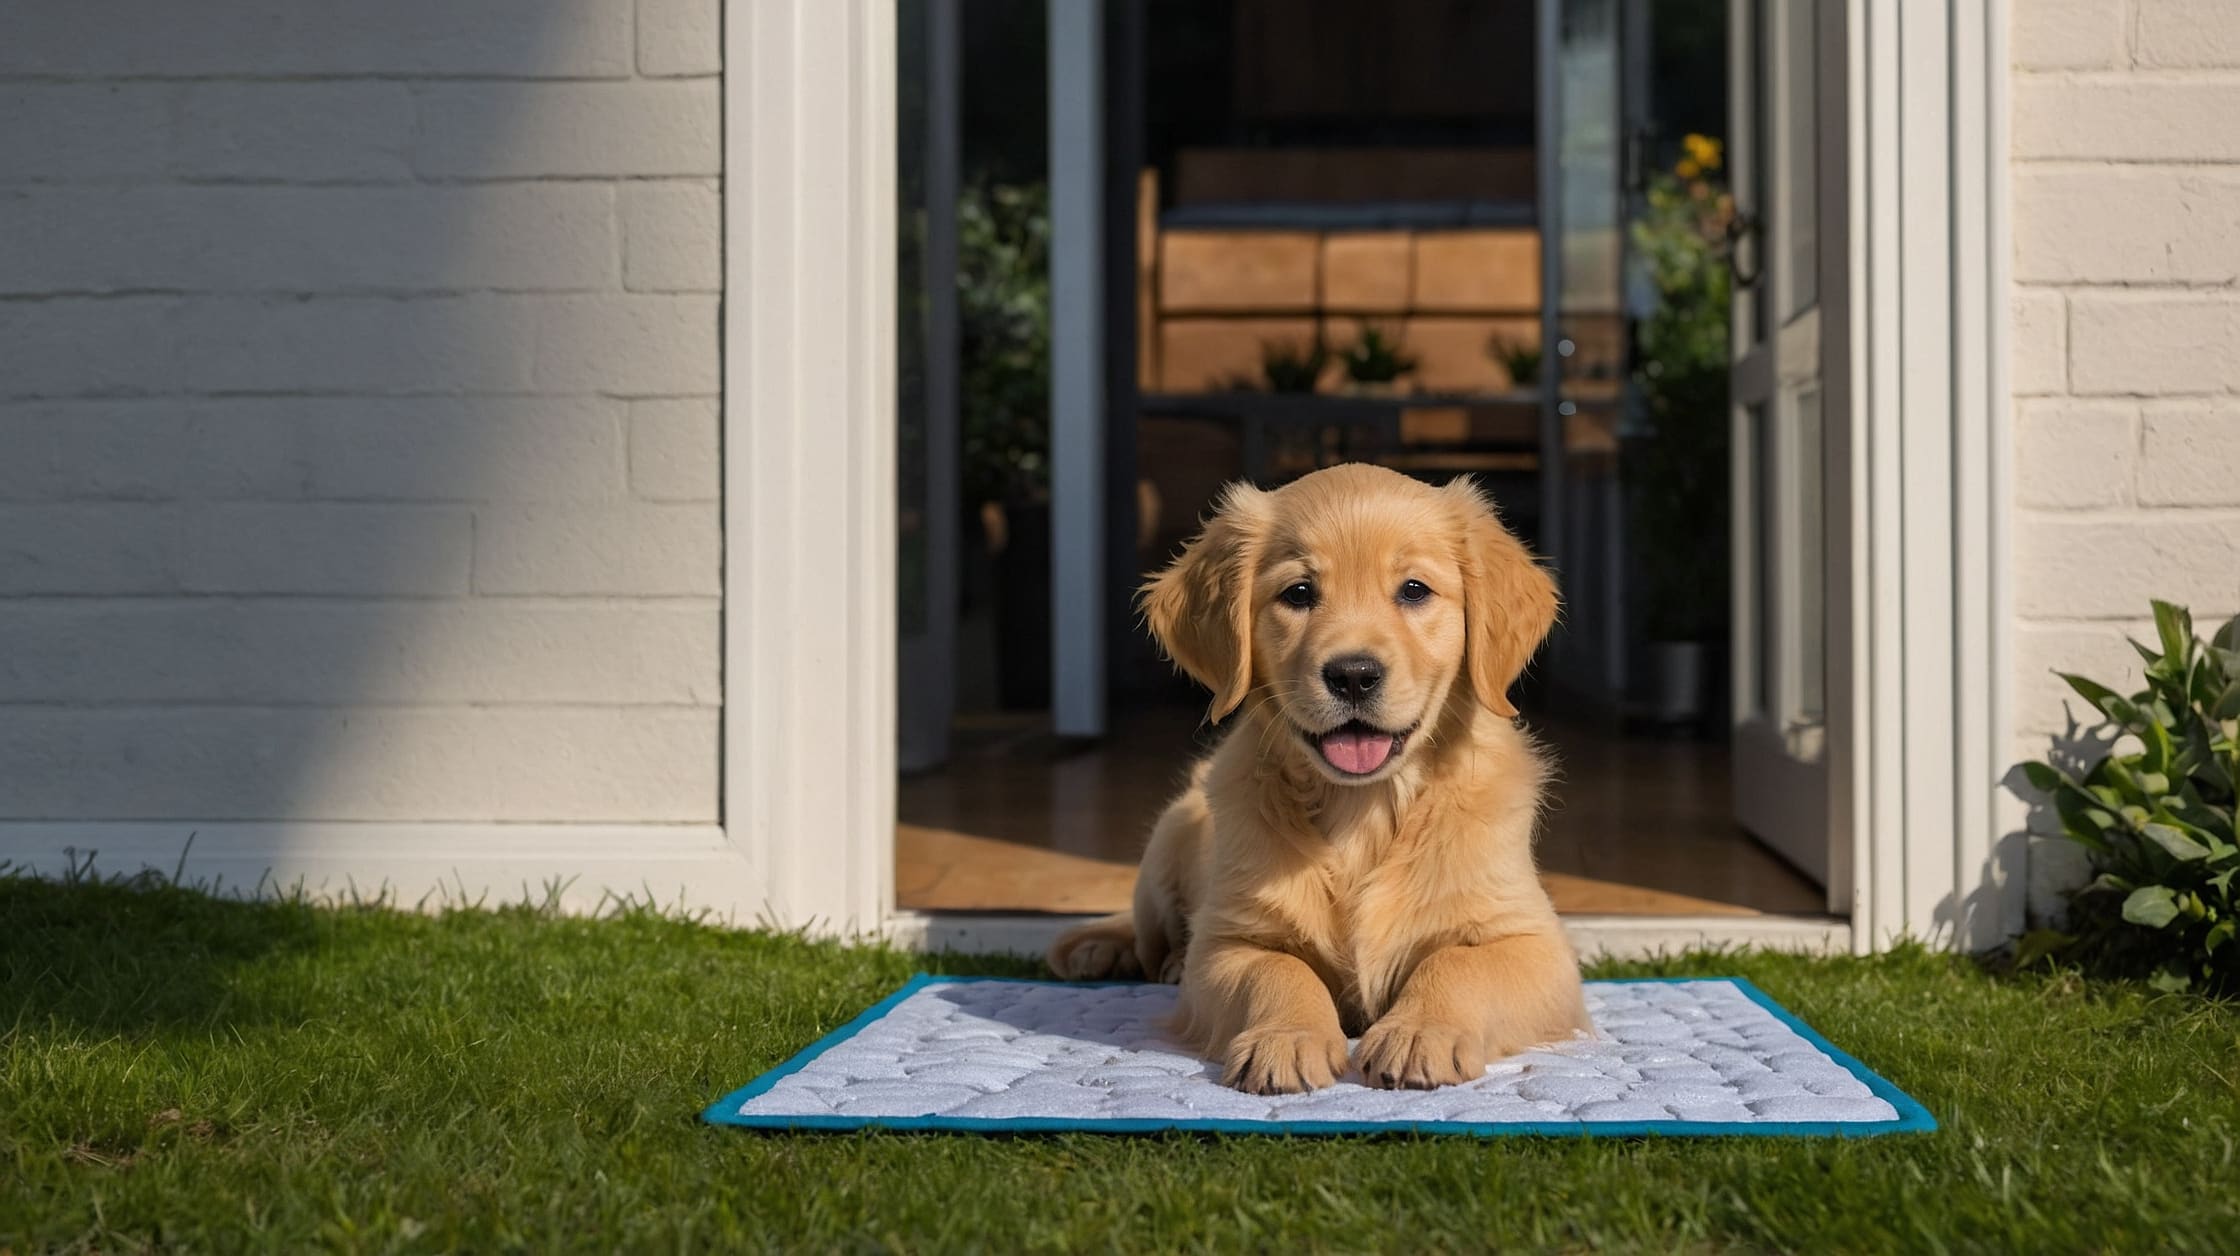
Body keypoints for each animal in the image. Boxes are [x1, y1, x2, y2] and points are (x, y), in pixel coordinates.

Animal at [1048, 461, 1594, 1088]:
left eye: (1414, 590)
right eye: (1299, 593)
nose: (1353, 674)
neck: (1364, 808)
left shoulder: (1534, 943)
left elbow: (1458, 963)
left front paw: (1419, 1031)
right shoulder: (1229, 942)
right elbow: (1278, 971)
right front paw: (1287, 1039)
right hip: (1167, 846)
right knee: (1146, 934)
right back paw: (1115, 952)